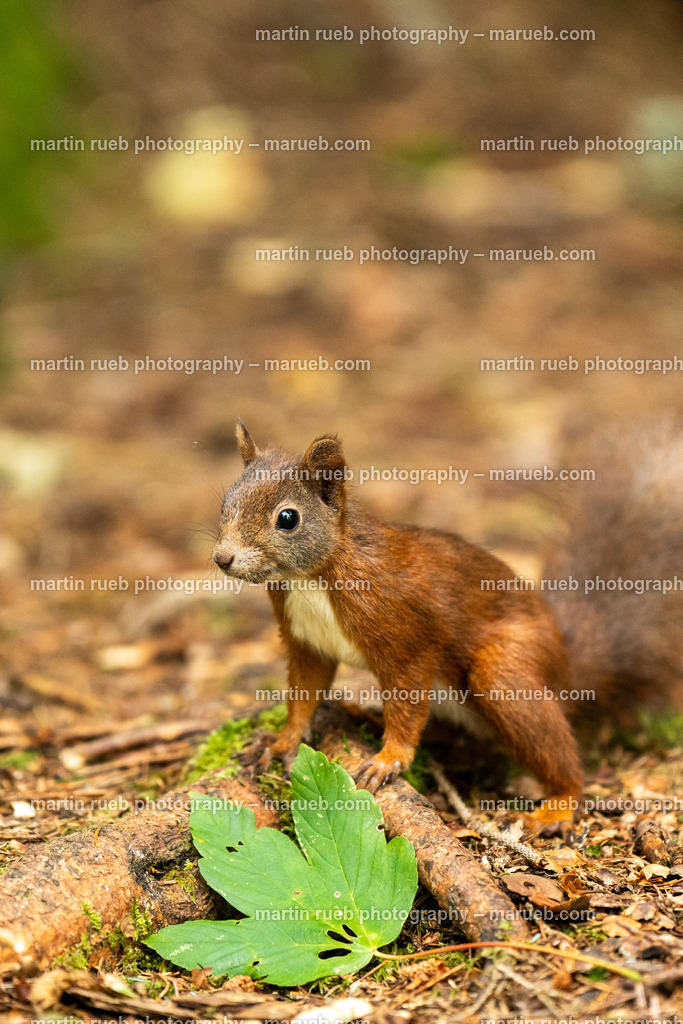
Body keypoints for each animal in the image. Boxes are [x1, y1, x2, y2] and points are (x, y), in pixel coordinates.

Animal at [212, 418, 682, 830]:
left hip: (506, 671)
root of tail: (566, 668)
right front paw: (283, 740)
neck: (311, 577)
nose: (222, 558)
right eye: (225, 504)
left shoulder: (407, 634)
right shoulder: (307, 641)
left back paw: (560, 804)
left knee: (553, 744)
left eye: (287, 518)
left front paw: (389, 758)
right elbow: (305, 692)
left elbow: (407, 699)